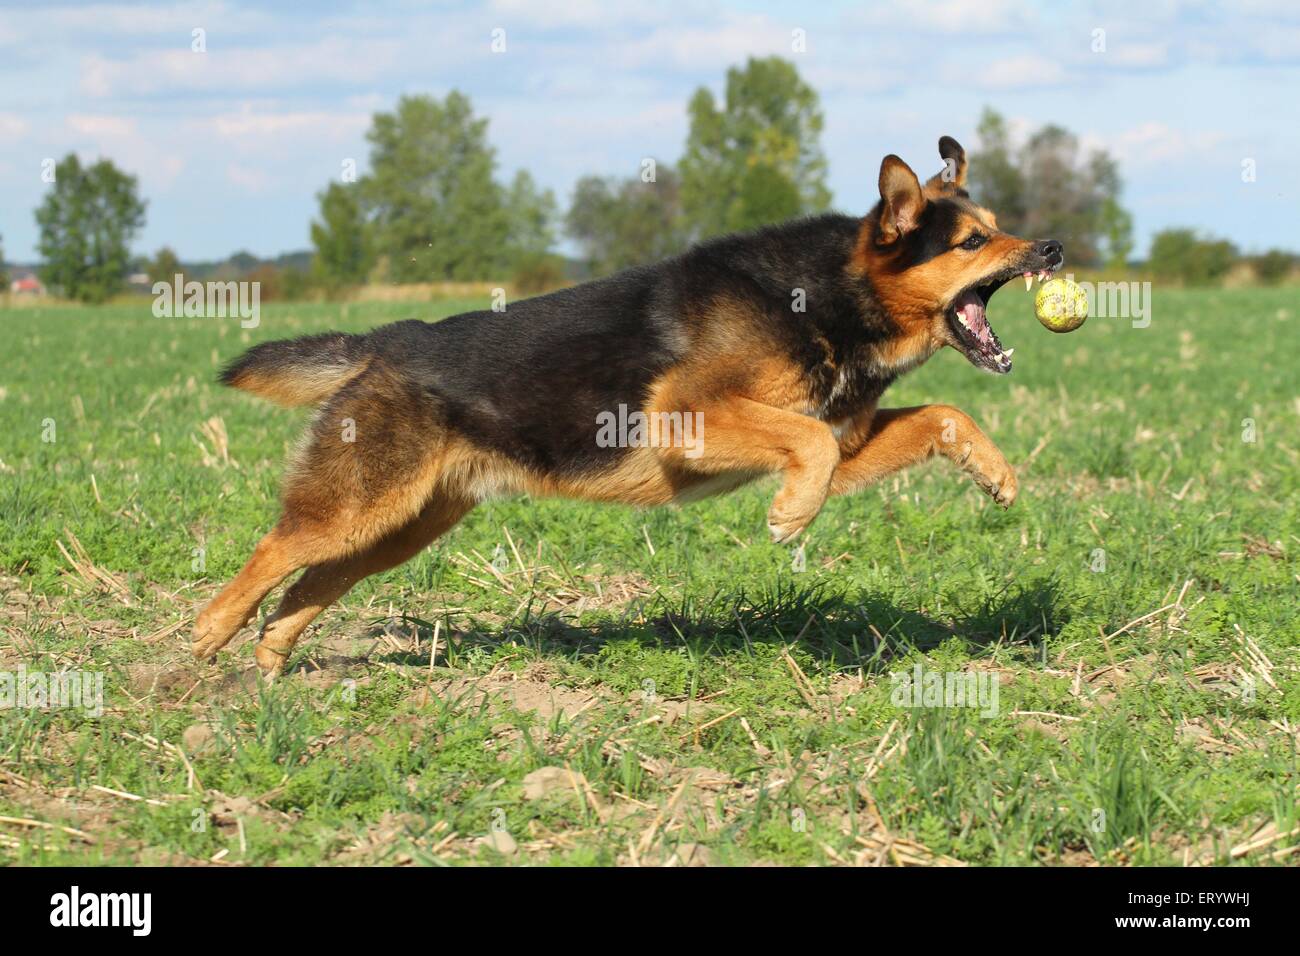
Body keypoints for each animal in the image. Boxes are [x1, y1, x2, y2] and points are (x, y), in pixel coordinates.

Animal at [195, 134, 1066, 676]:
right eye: (972, 243)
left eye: (997, 228)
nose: (1053, 248)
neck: (830, 297)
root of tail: (382, 342)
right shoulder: (687, 416)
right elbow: (808, 448)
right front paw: (791, 516)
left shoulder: (843, 443)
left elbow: (939, 417)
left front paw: (994, 474)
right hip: (360, 509)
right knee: (275, 550)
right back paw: (206, 637)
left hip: (400, 527)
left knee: (307, 585)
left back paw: (269, 666)